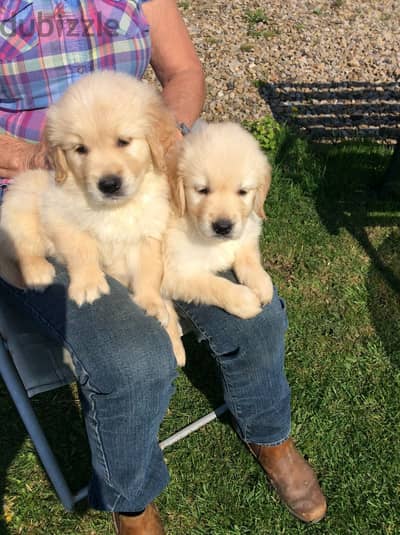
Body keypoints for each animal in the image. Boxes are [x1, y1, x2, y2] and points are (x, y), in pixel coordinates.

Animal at [0, 70, 185, 364]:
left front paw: (151, 303)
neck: (114, 208)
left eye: (124, 142)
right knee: (23, 246)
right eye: (80, 149)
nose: (108, 184)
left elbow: (149, 271)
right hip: (22, 204)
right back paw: (38, 272)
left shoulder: (147, 234)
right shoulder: (63, 217)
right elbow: (81, 249)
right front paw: (88, 285)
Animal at [162, 121, 272, 322]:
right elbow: (211, 284)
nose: (223, 227)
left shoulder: (247, 233)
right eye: (202, 190)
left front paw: (262, 283)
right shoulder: (172, 273)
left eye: (242, 191)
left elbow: (249, 258)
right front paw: (244, 300)